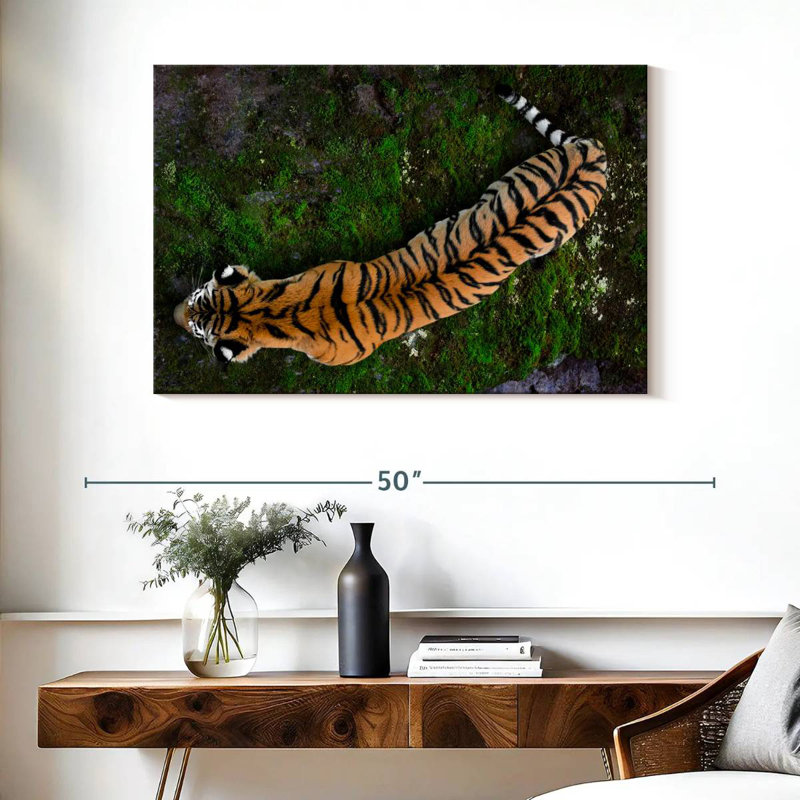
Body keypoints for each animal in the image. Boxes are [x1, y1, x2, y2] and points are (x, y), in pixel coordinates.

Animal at [173, 84, 608, 366]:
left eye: (195, 328)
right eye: (193, 300)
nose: (172, 313)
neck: (269, 310)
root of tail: (595, 152)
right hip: (510, 179)